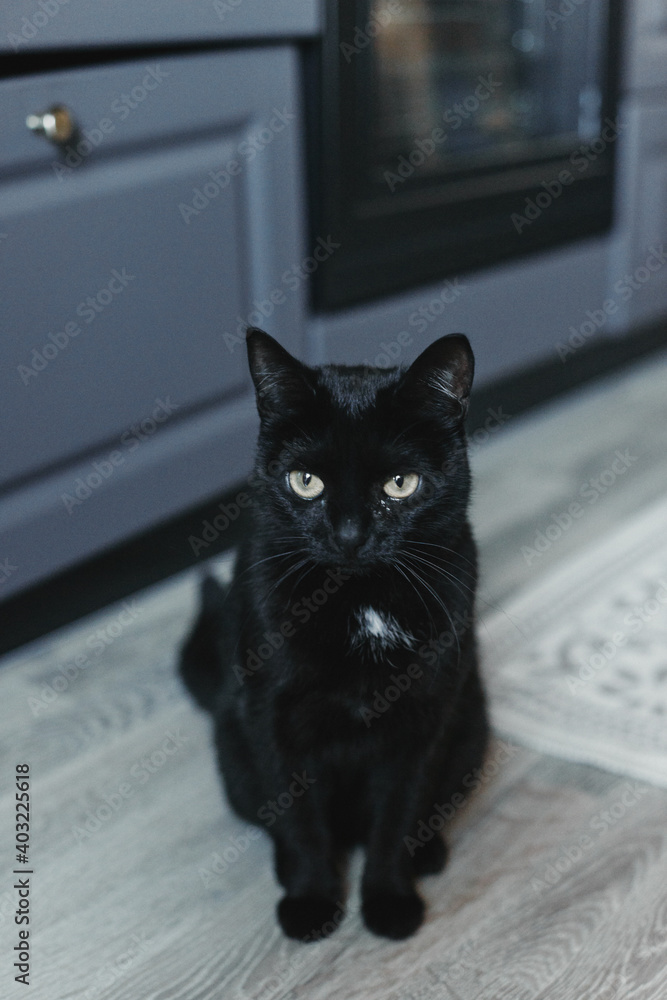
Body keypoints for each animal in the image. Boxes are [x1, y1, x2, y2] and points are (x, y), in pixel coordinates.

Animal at [180, 326, 488, 936]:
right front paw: (311, 902)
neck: (361, 603)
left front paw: (390, 901)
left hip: (470, 727)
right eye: (306, 482)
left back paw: (429, 854)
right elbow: (299, 820)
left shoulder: (424, 721)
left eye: (400, 484)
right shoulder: (272, 720)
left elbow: (398, 815)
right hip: (234, 748)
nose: (348, 534)